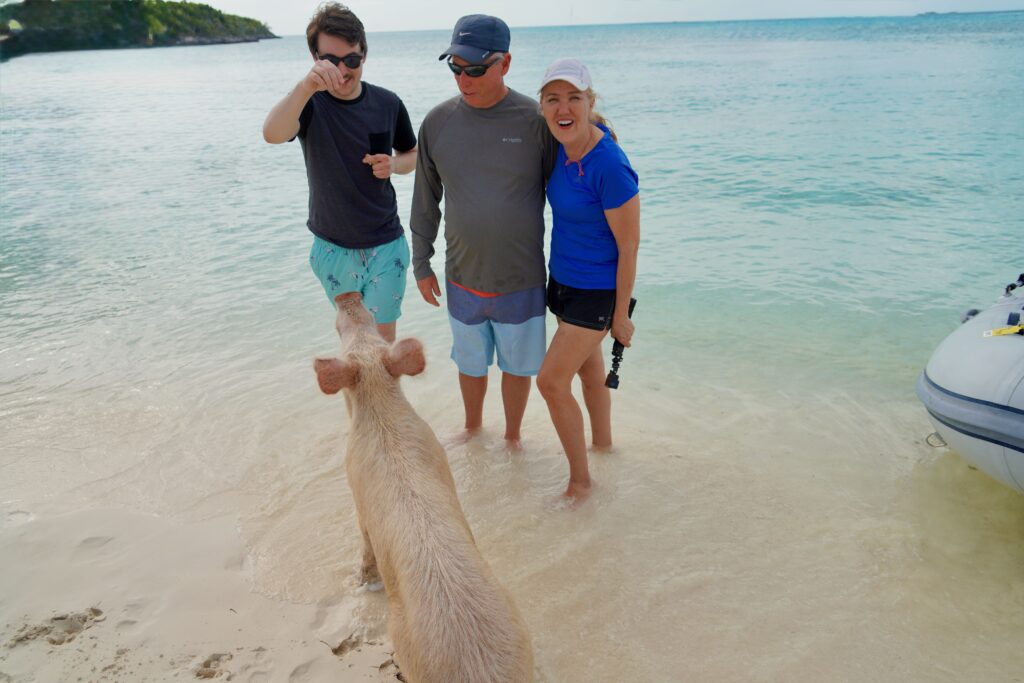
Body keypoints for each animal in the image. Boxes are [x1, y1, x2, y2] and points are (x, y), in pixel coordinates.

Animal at [314, 292, 533, 683]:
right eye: (370, 330)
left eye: (346, 338)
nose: (348, 296)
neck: (381, 411)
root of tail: (481, 672)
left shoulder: (357, 496)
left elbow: (365, 547)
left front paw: (363, 583)